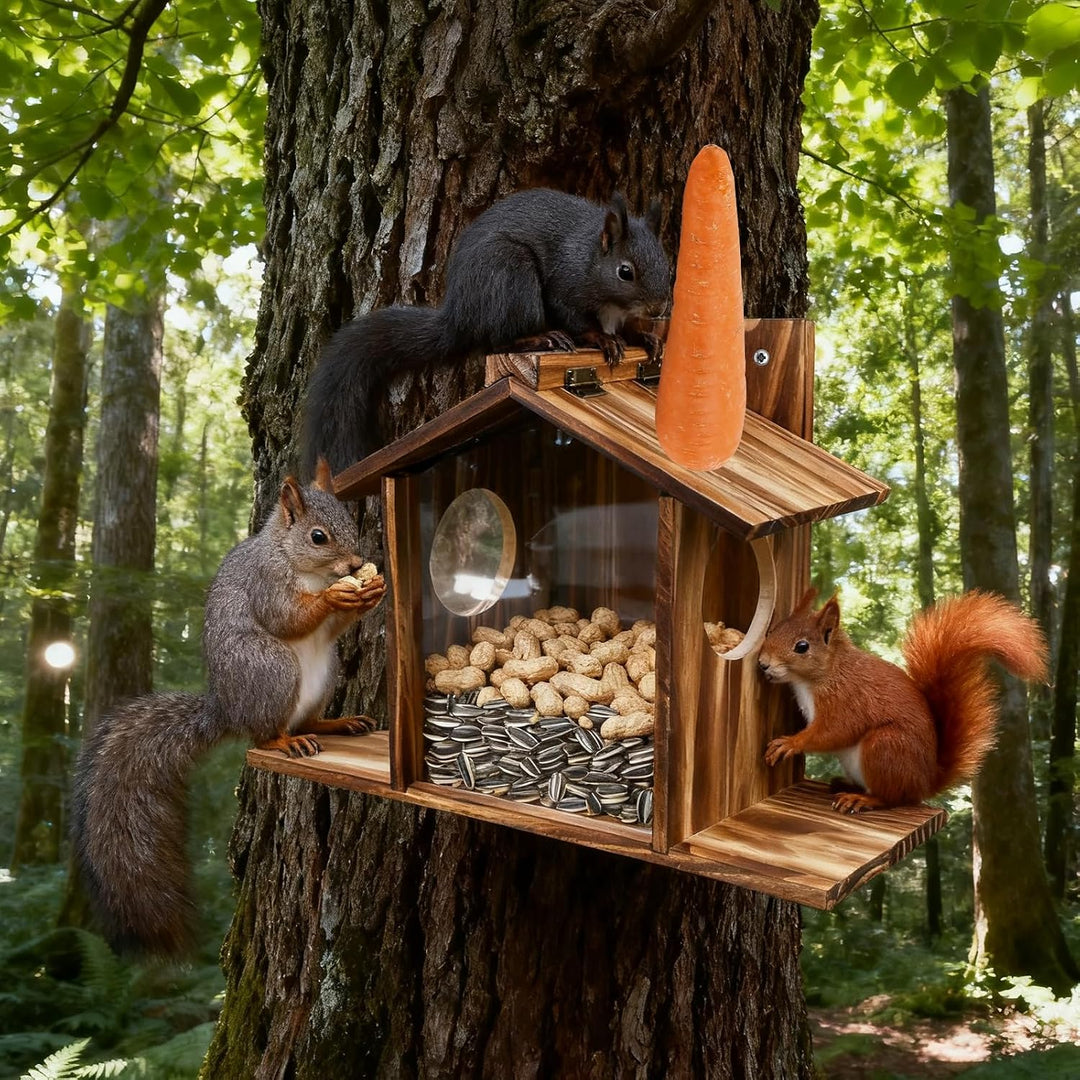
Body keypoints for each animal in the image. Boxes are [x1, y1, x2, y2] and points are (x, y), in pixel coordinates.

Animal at [71, 459, 387, 955]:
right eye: (318, 536)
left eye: (352, 523)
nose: (357, 565)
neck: (292, 558)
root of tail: (228, 708)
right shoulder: (266, 584)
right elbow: (288, 617)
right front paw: (336, 596)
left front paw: (370, 592)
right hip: (269, 668)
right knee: (262, 733)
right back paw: (284, 742)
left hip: (324, 675)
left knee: (311, 718)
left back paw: (337, 723)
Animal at [301, 187, 671, 475]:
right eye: (625, 272)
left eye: (666, 263)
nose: (658, 308)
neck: (592, 258)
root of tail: (460, 316)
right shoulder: (565, 285)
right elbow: (576, 319)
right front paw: (602, 338)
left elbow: (630, 327)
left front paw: (646, 338)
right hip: (509, 275)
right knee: (497, 338)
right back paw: (542, 337)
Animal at [758, 588, 1048, 814]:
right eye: (771, 630)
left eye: (802, 647)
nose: (762, 663)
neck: (828, 672)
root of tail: (926, 782)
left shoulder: (848, 700)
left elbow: (834, 731)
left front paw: (790, 743)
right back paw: (845, 784)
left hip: (886, 746)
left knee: (892, 798)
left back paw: (862, 798)